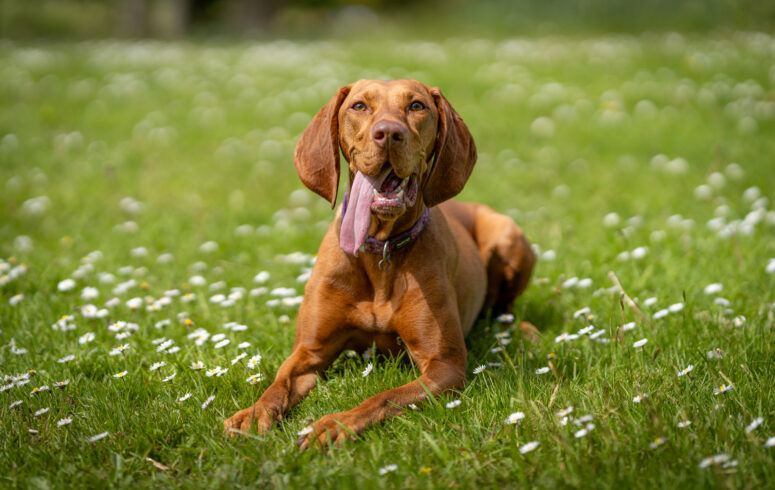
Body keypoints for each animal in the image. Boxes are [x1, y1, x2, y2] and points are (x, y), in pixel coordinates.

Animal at [223, 79, 532, 448]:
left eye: (416, 106)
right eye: (359, 106)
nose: (388, 133)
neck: (379, 252)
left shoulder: (444, 364)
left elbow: (383, 397)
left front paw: (334, 424)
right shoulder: (309, 353)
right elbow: (277, 384)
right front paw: (252, 414)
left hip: (508, 236)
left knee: (506, 308)